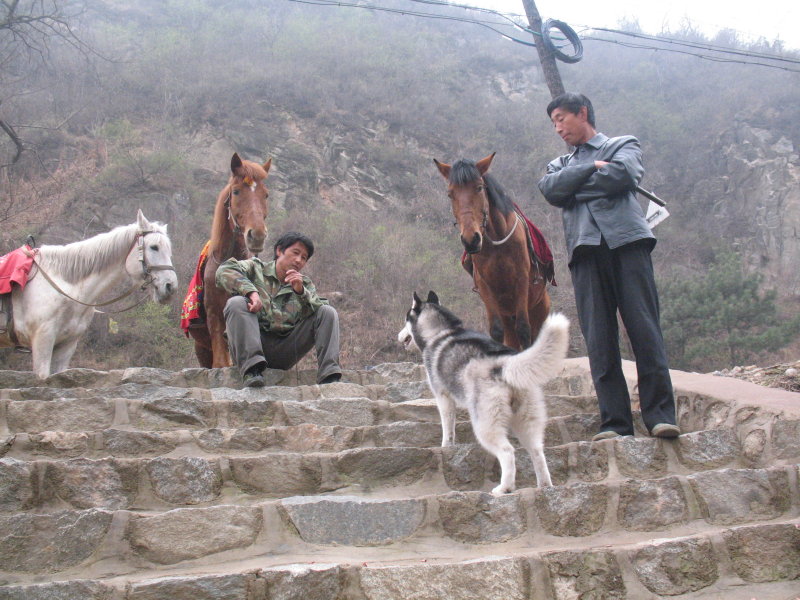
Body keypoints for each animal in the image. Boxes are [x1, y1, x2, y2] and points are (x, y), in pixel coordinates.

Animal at [188, 151, 272, 366]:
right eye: (236, 192)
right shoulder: (214, 317)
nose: (257, 235)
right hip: (201, 348)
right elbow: (220, 363)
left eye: (266, 194)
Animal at [400, 290, 568, 492]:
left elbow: (447, 428)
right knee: (536, 450)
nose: (398, 336)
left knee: (507, 451)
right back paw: (544, 485)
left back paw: (504, 489)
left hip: (484, 424)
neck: (439, 332)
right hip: (526, 420)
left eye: (405, 320)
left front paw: (446, 446)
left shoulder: (443, 397)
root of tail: (503, 363)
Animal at [438, 151, 552, 352]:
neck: (498, 243)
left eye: (479, 188)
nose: (471, 239)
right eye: (450, 194)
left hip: (538, 310)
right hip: (507, 314)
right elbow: (496, 331)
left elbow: (523, 328)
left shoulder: (521, 281)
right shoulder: (485, 286)